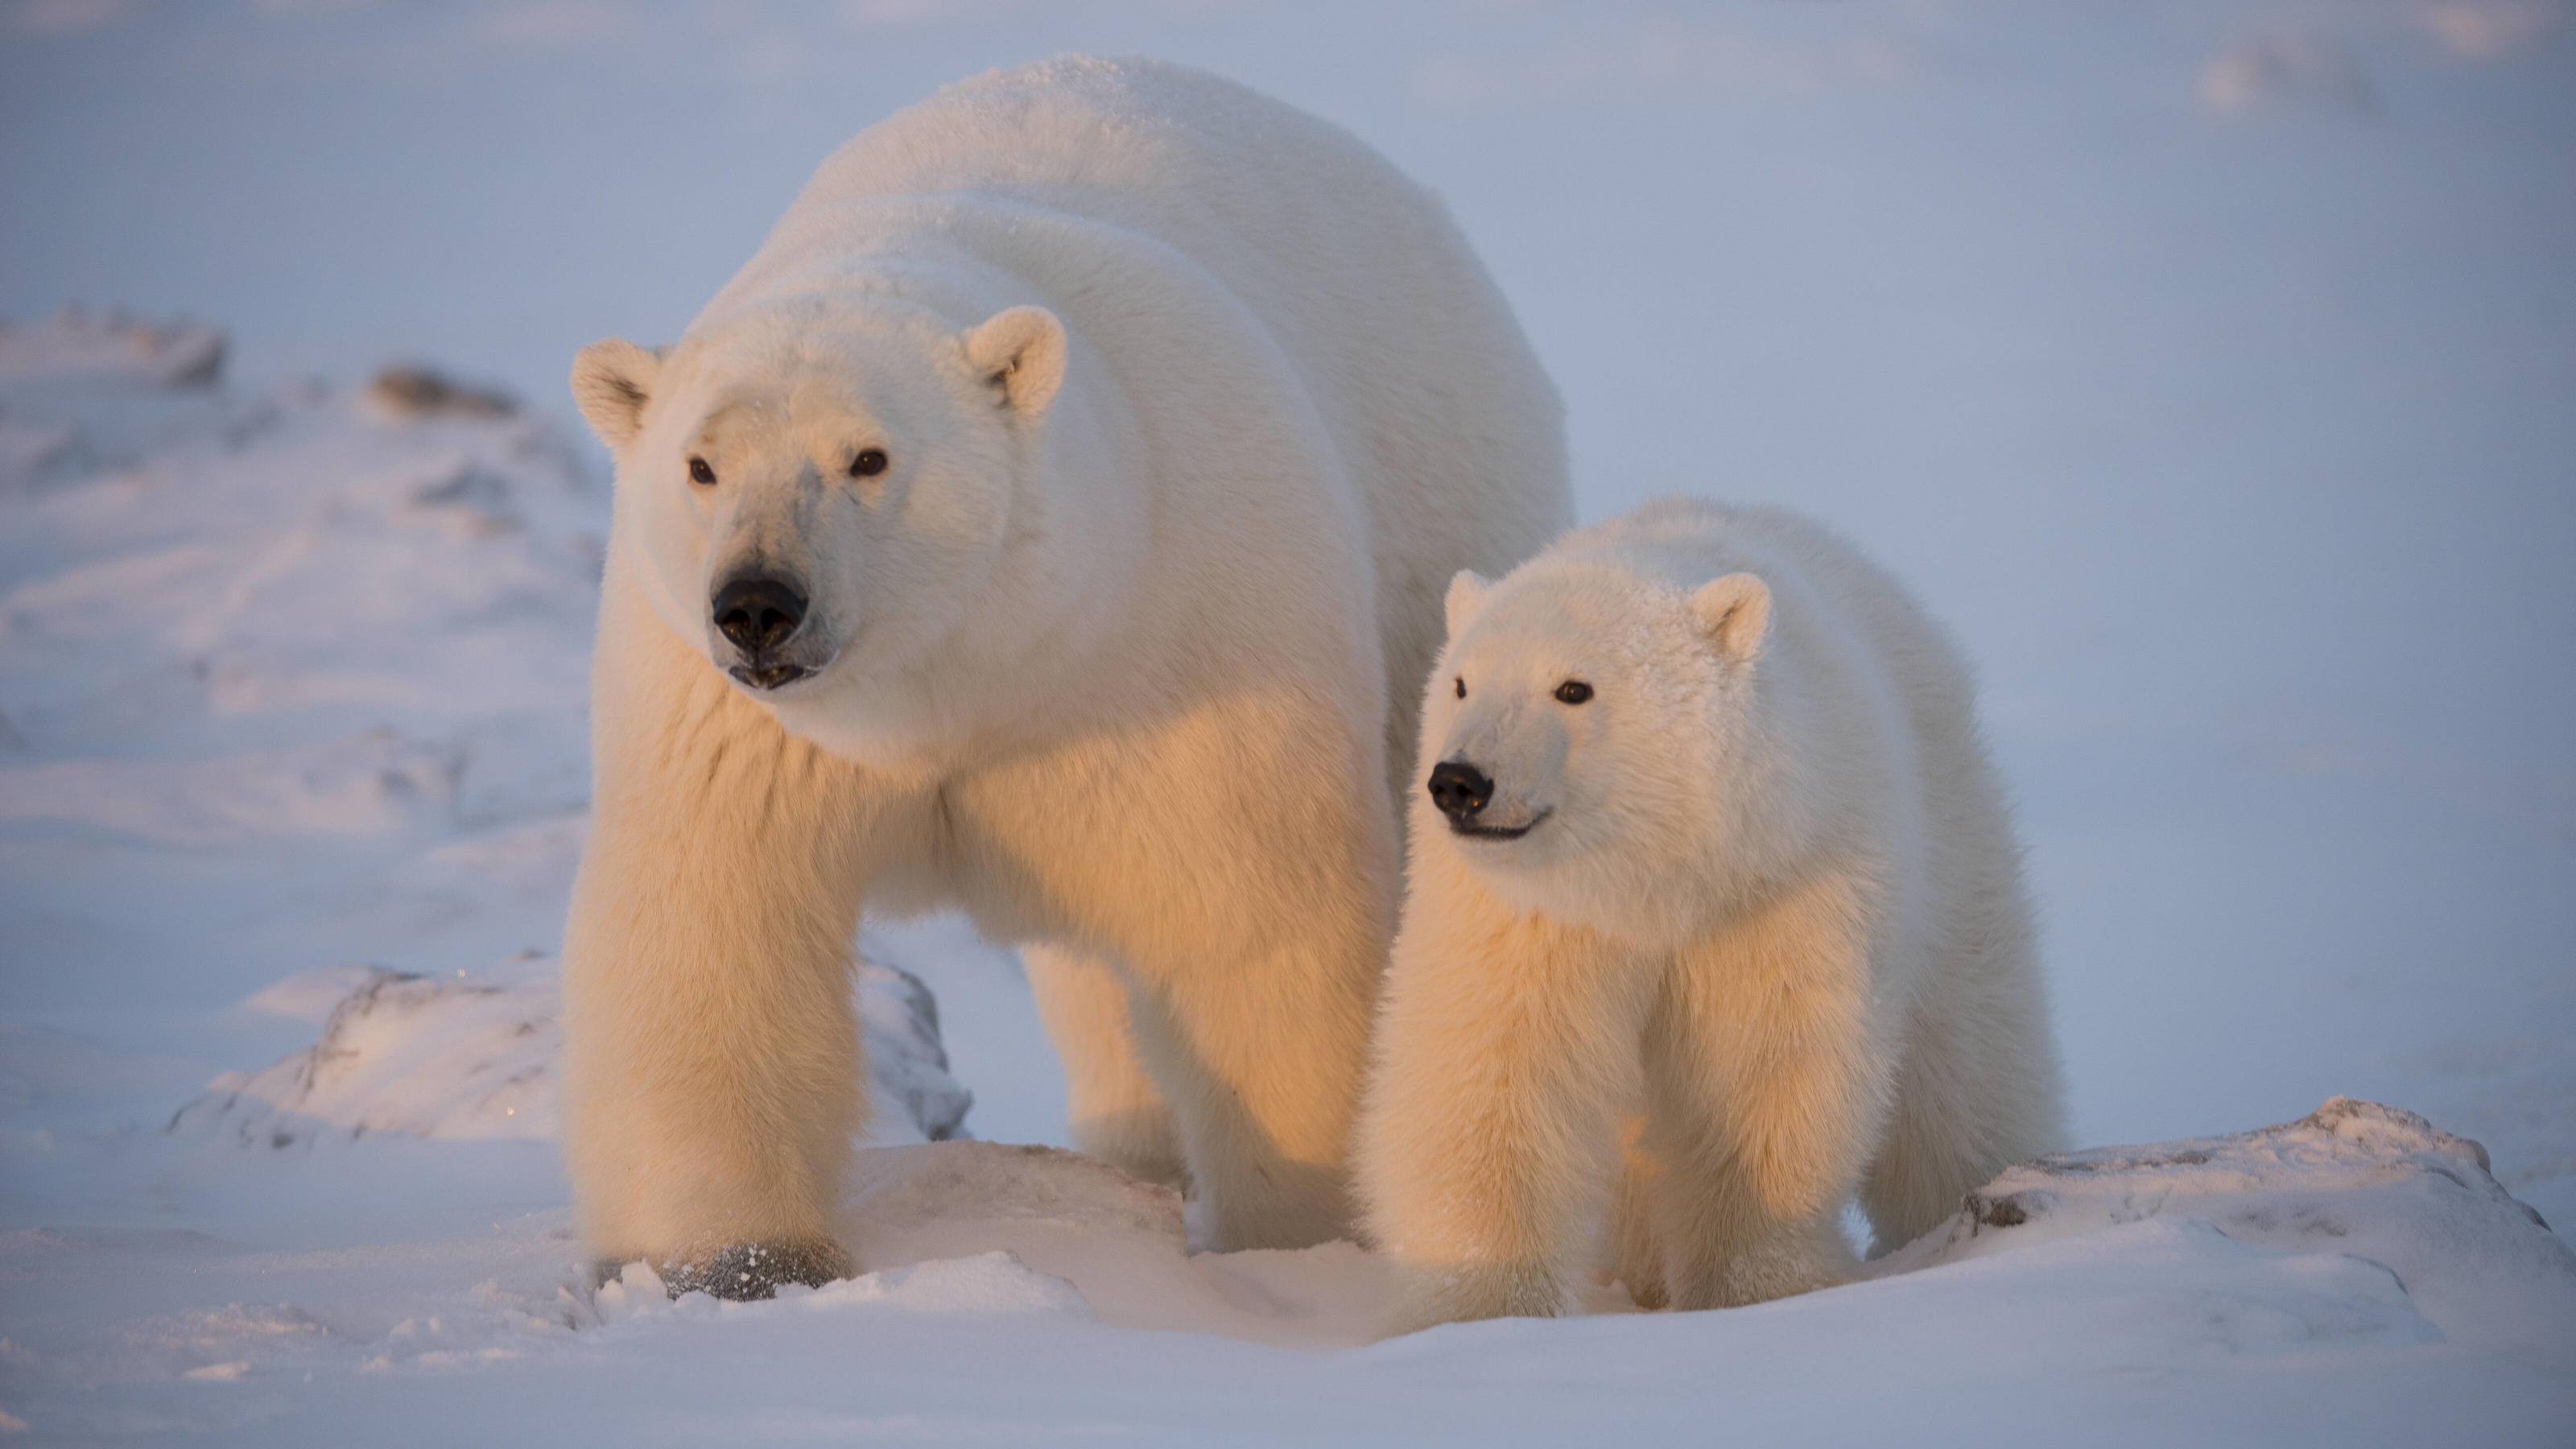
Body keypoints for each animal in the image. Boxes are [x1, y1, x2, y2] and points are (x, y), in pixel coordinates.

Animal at [567, 53, 1566, 1284]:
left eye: (868, 458)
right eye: (702, 466)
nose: (758, 605)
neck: (964, 686)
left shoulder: (1181, 642)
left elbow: (1258, 927)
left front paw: (1301, 1242)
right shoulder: (722, 719)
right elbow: (714, 927)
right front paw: (741, 1259)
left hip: (1443, 524)